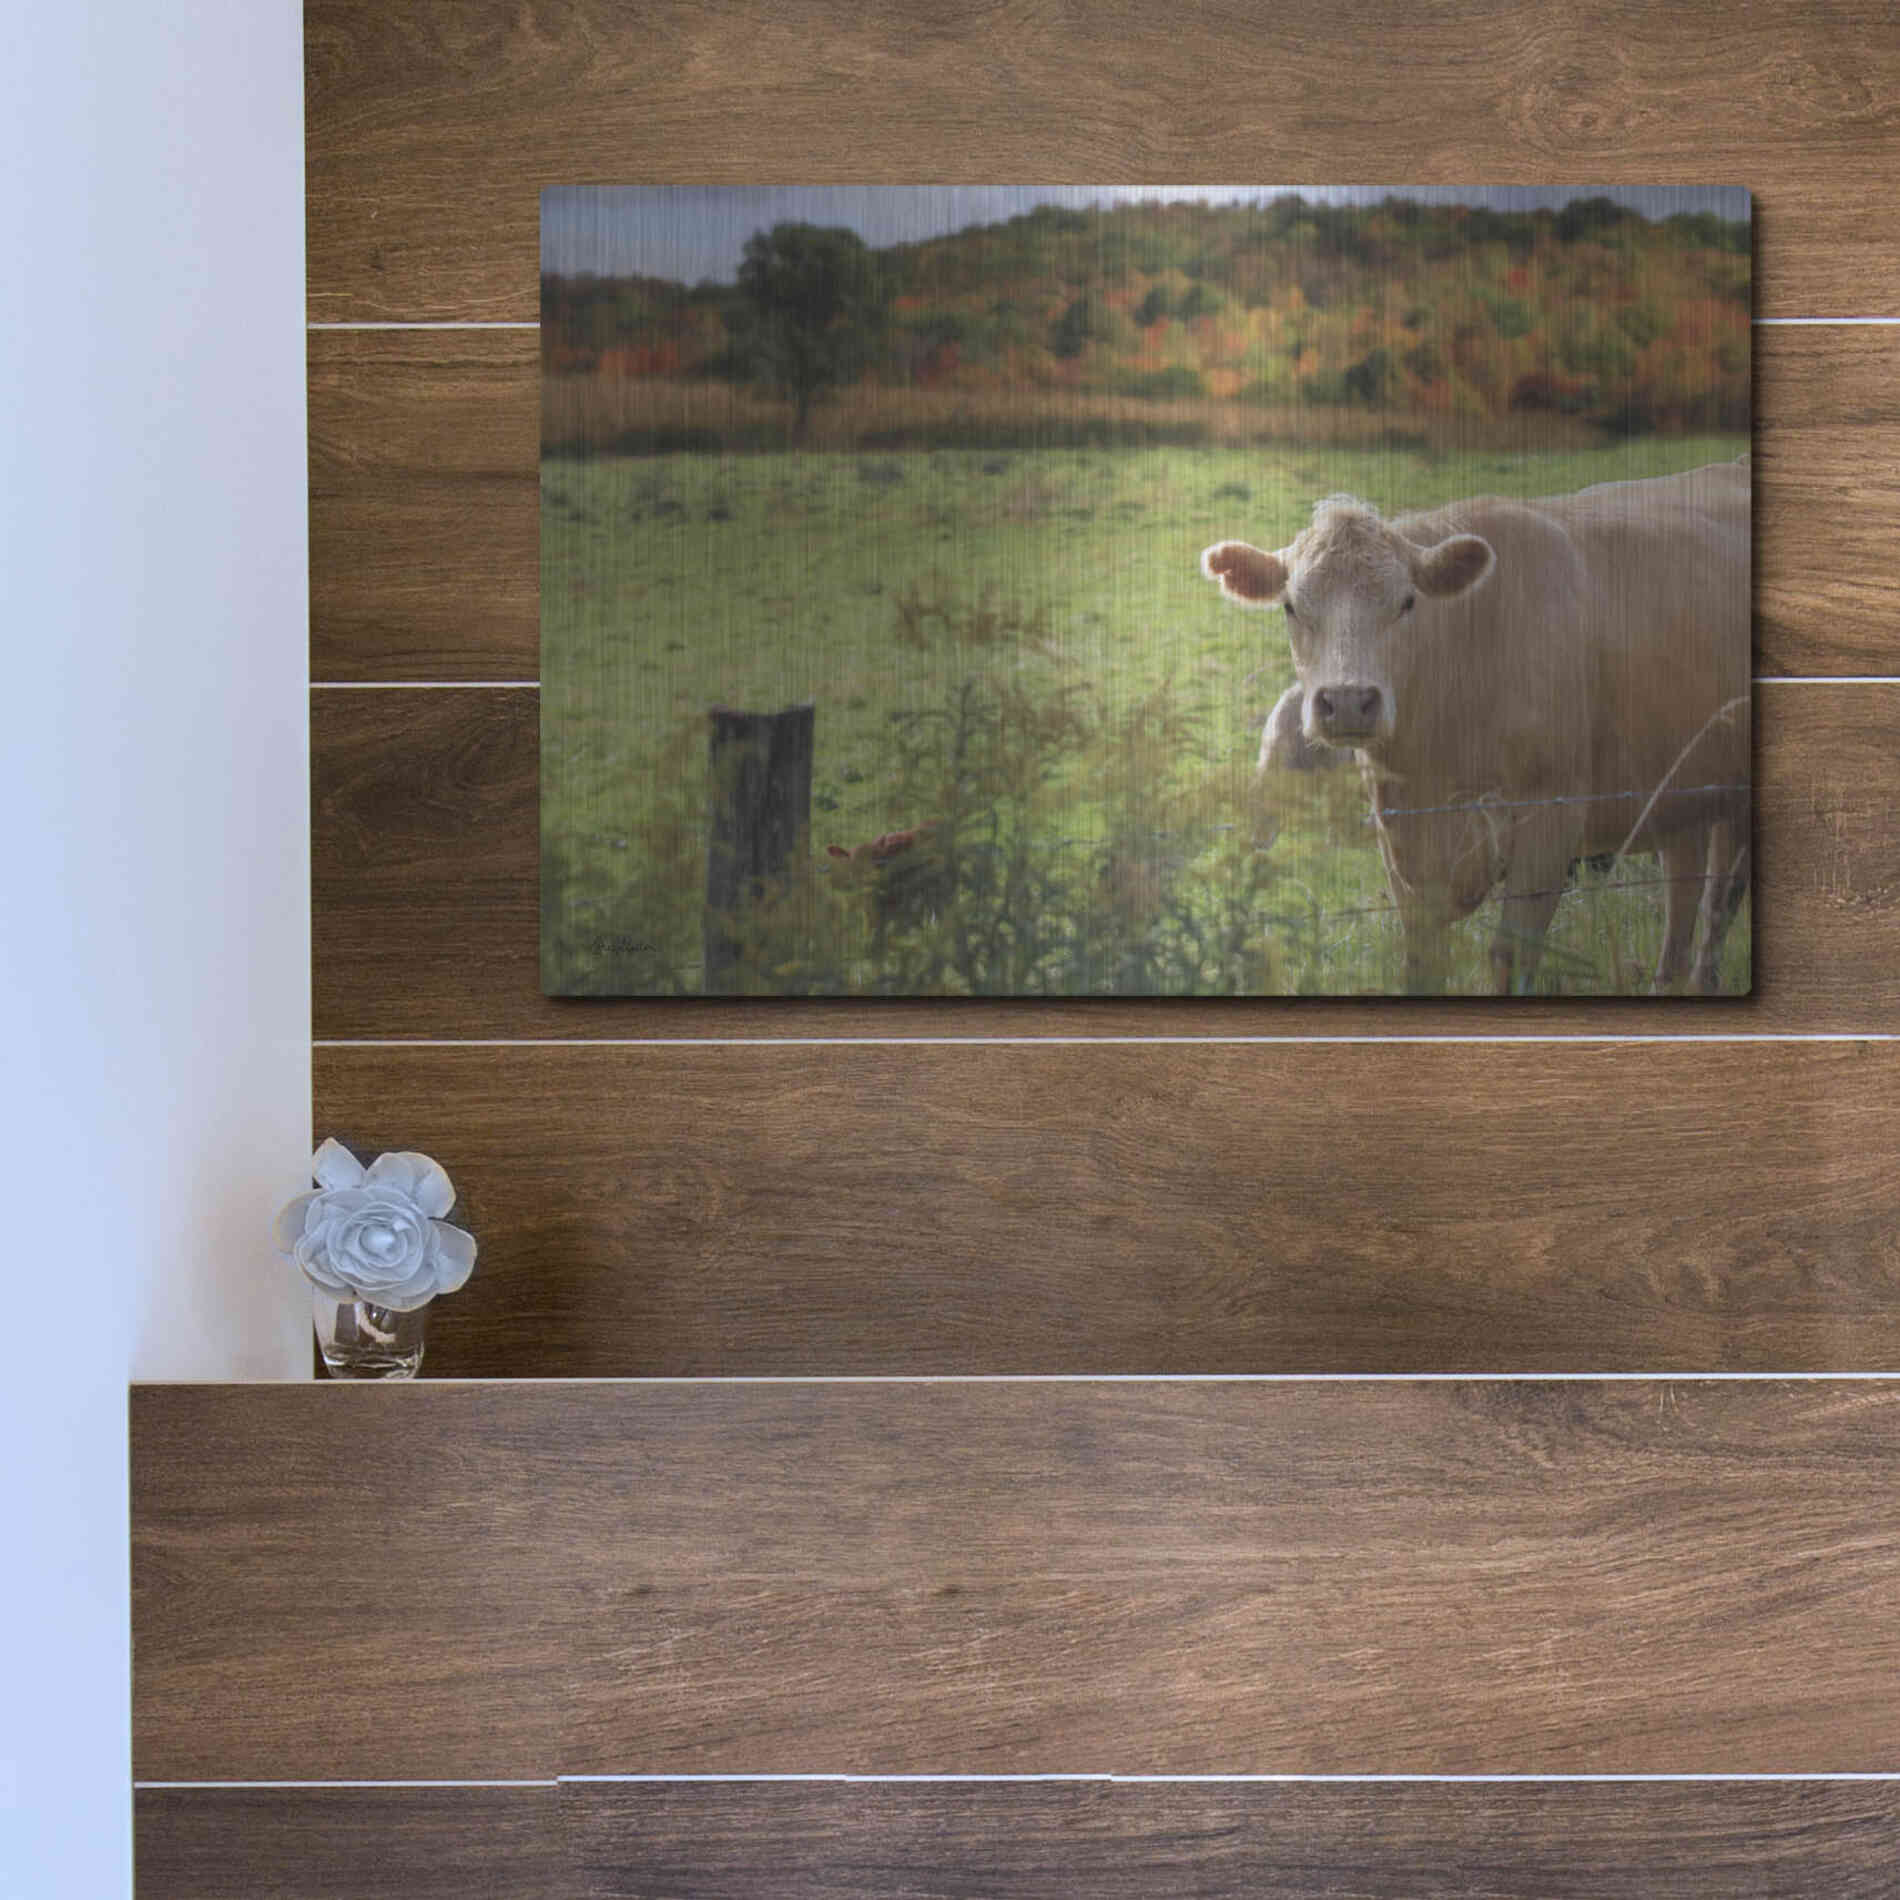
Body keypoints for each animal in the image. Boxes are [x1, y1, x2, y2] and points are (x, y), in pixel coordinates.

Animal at [1201, 459, 1750, 994]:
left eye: (1407, 602)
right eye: (1291, 606)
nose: (1349, 702)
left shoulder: (1552, 821)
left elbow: (1511, 957)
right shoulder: (1405, 851)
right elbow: (1423, 964)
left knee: (1719, 900)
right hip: (1680, 794)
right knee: (1685, 893)